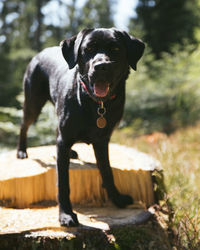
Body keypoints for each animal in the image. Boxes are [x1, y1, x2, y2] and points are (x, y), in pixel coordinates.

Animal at [16, 27, 144, 227]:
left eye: (115, 49)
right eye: (89, 49)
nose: (101, 66)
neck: (95, 103)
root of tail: (40, 53)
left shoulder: (102, 140)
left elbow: (107, 172)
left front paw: (117, 199)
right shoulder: (65, 139)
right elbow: (63, 183)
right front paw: (66, 215)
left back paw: (71, 153)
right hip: (33, 103)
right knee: (24, 125)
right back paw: (21, 151)